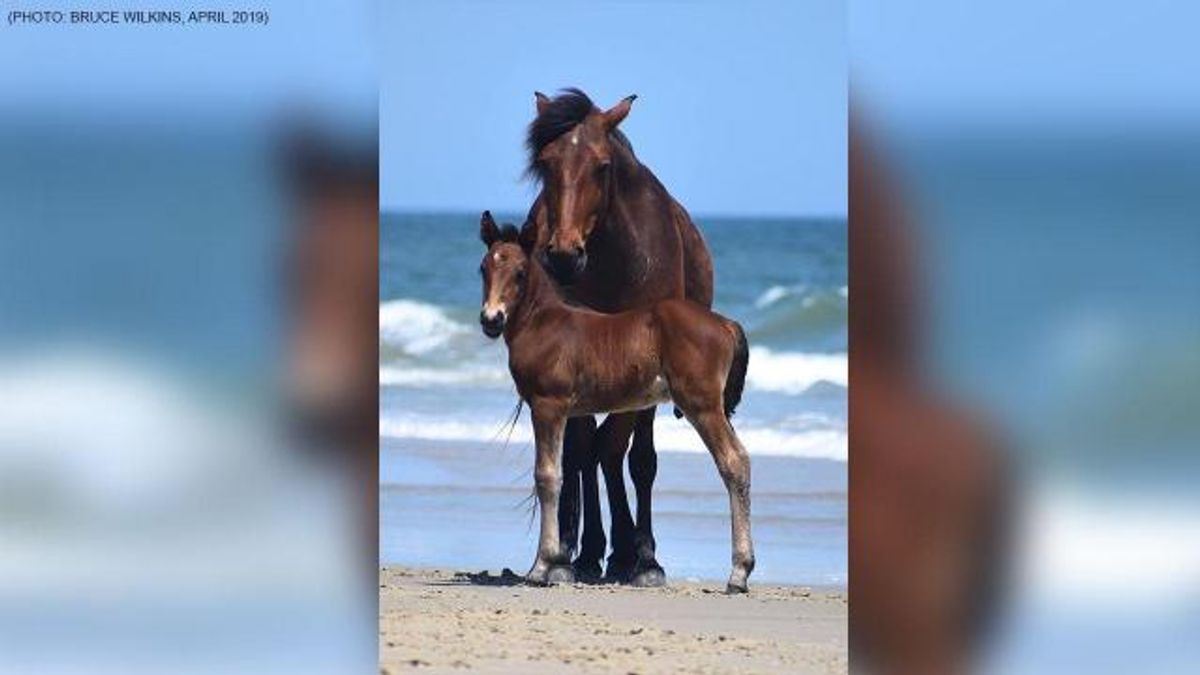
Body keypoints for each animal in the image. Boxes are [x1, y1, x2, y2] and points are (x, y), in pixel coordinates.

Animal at [477, 213, 754, 593]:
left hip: (702, 405)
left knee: (733, 461)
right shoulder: (566, 411)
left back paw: (739, 572)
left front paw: (540, 567)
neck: (544, 322)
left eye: (520, 272)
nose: (491, 320)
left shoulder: (548, 405)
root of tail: (726, 324)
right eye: (483, 268)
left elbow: (547, 476)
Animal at [520, 88, 715, 586]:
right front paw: (573, 554)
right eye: (545, 163)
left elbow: (633, 457)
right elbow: (581, 451)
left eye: (602, 165)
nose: (563, 255)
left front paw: (641, 558)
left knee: (620, 454)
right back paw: (589, 551)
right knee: (589, 452)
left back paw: (628, 553)